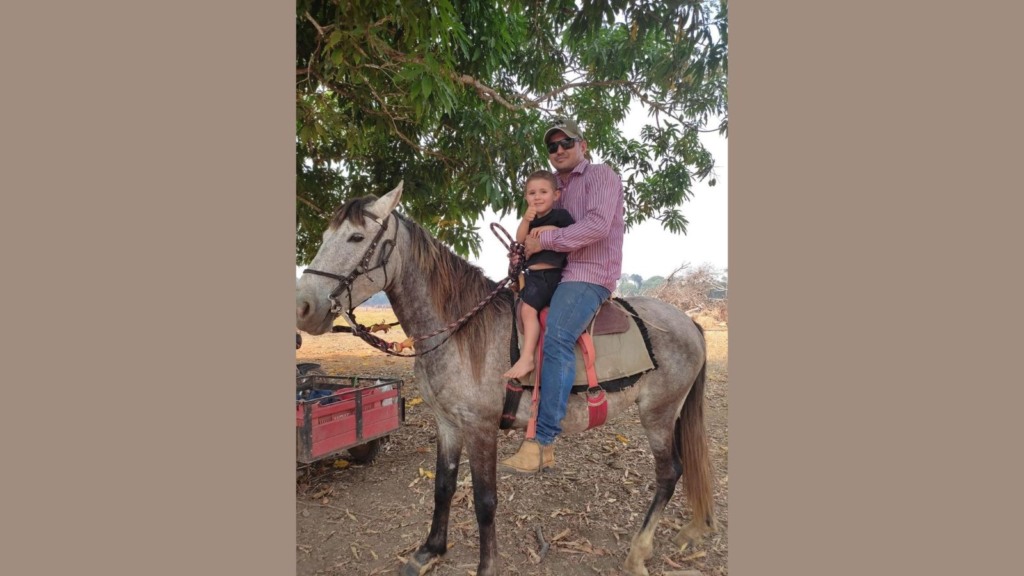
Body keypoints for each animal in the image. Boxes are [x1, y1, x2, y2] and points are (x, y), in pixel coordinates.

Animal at [292, 180, 716, 573]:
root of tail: (688, 322)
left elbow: (485, 501)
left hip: (658, 413)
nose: (304, 307)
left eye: (357, 237)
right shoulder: (447, 423)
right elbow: (443, 486)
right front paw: (430, 551)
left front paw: (486, 565)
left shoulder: (481, 428)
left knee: (669, 473)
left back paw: (638, 552)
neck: (458, 332)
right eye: (325, 236)